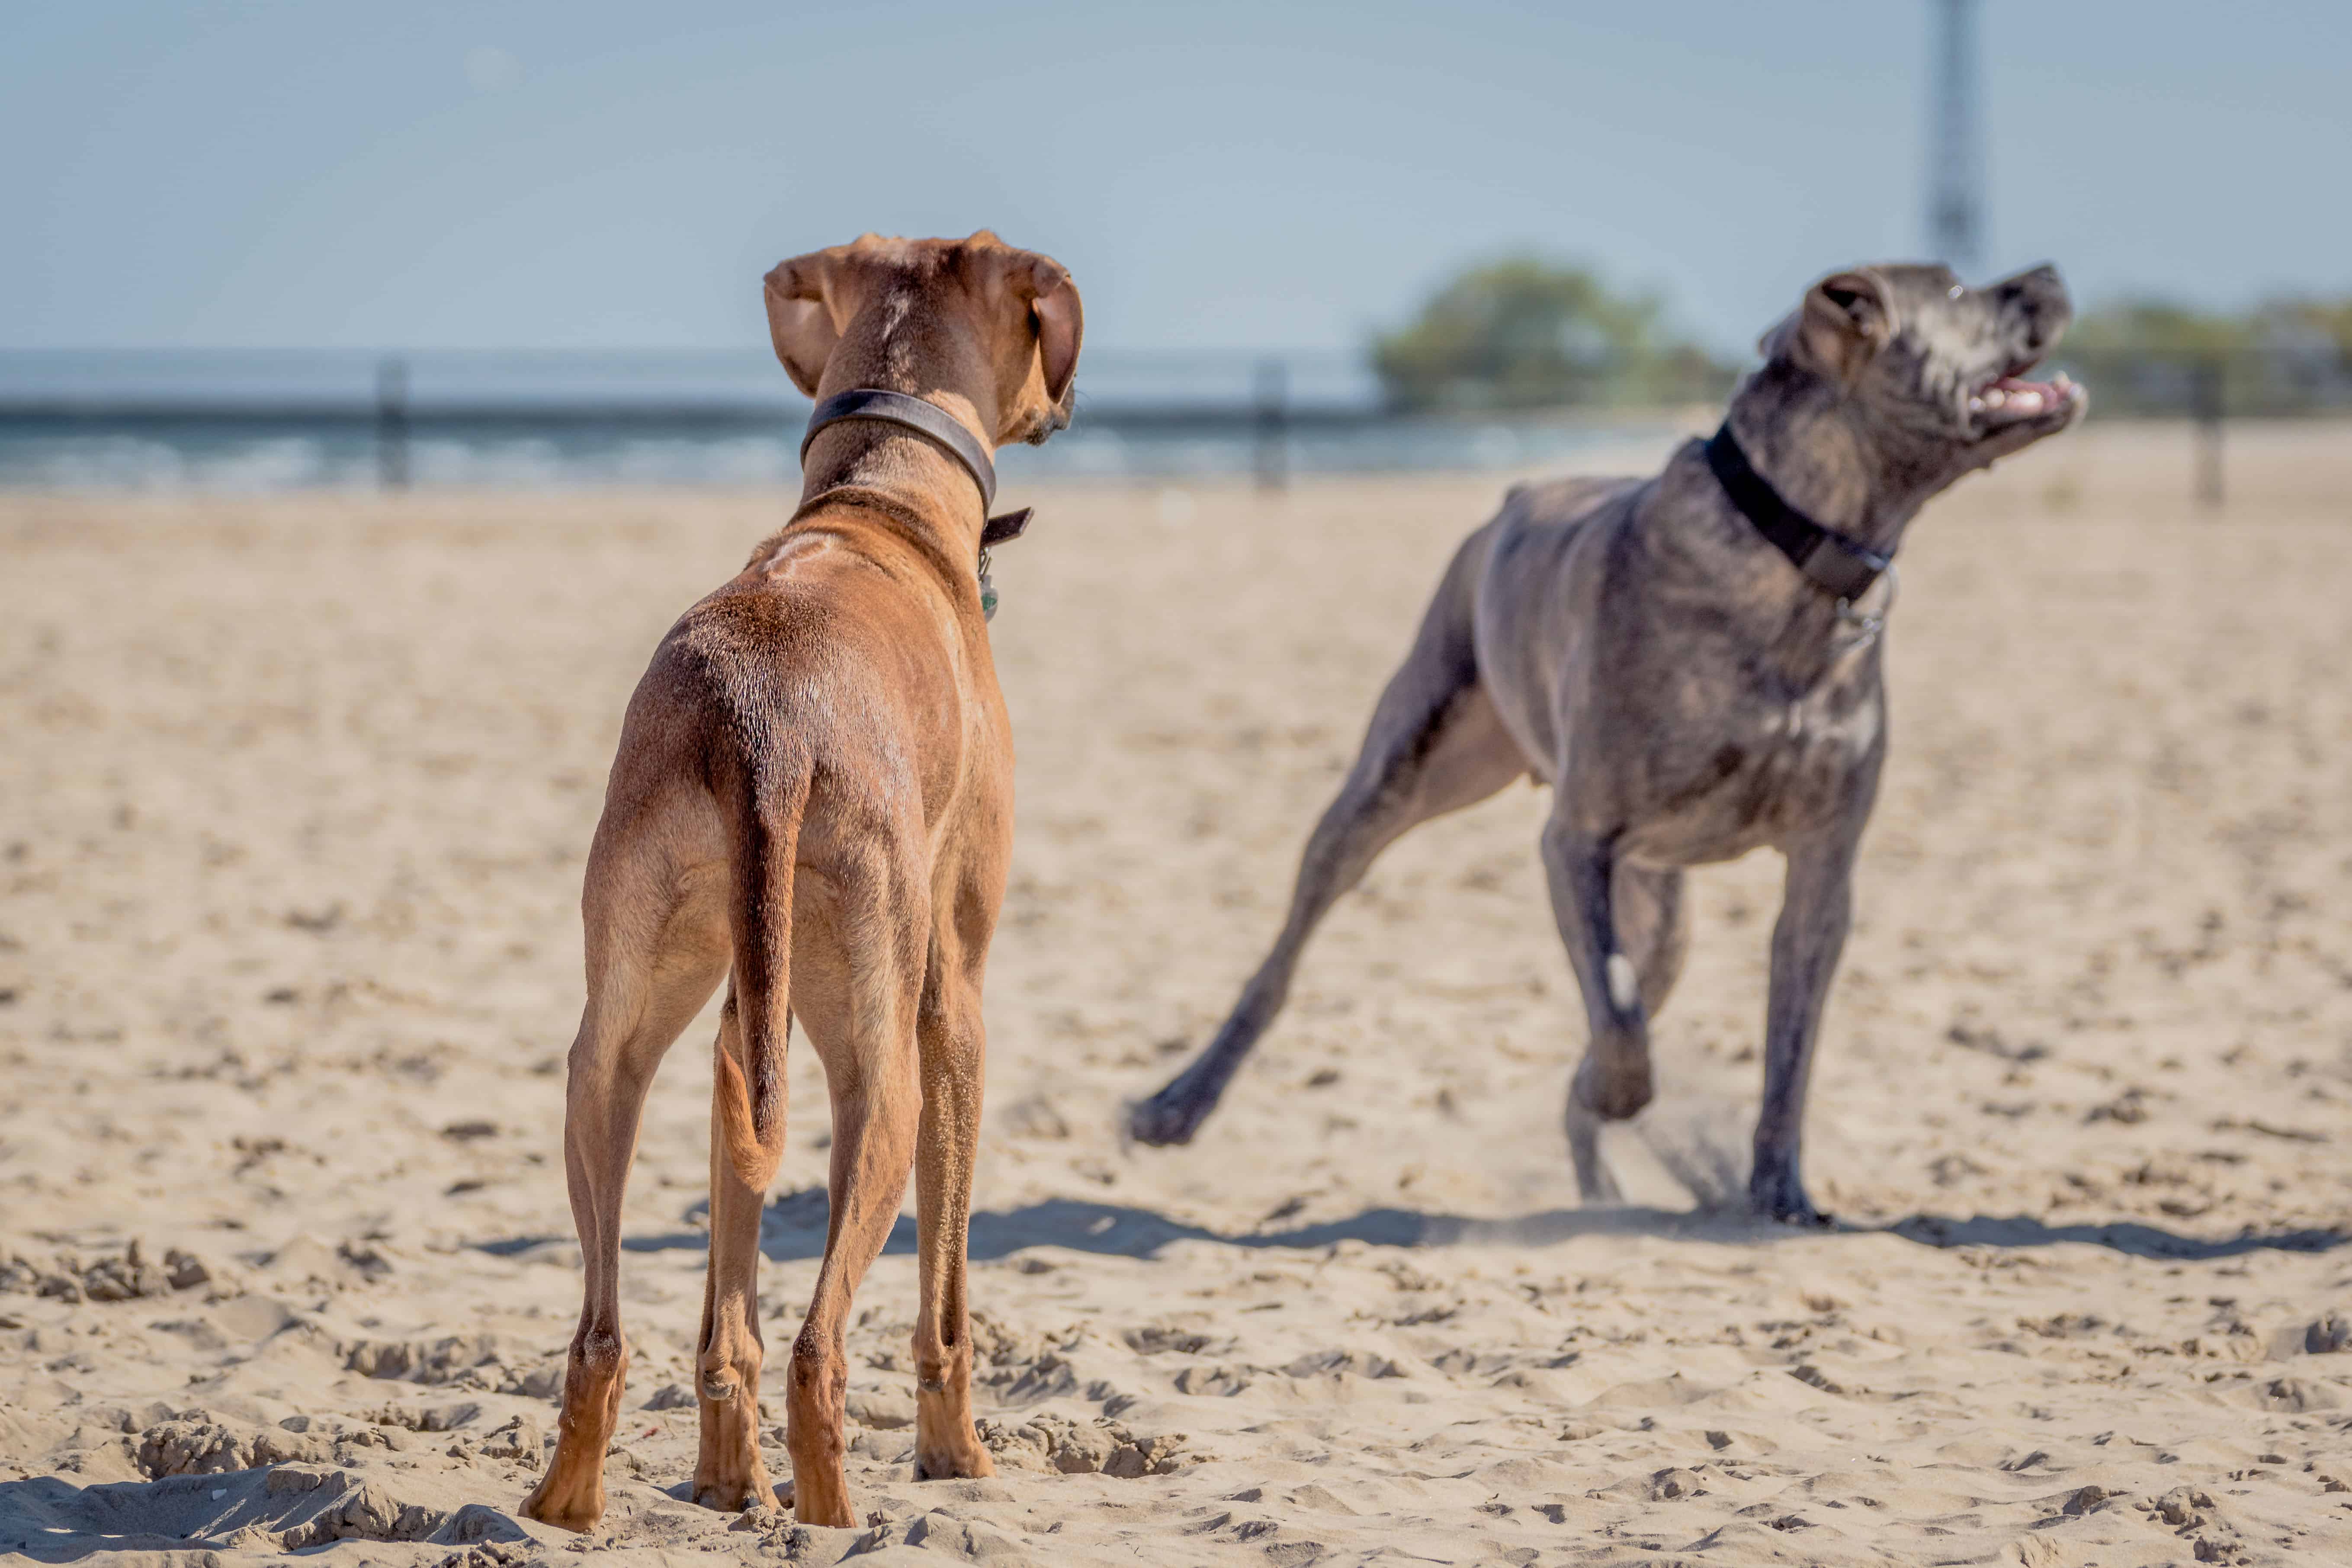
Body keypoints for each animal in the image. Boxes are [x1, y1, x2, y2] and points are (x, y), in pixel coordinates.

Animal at [520, 233, 1077, 1533]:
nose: (1060, 407)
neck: (881, 498)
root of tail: (761, 722)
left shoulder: (742, 1009)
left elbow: (726, 1299)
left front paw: (728, 1482)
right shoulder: (953, 1003)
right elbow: (944, 1300)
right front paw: (957, 1454)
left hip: (621, 1030)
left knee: (604, 1325)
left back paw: (573, 1504)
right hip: (879, 1059)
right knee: (821, 1343)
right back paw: (836, 1514)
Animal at [1133, 266, 2079, 1222]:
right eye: (1957, 291)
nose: (2049, 274)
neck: (1796, 561)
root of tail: (1516, 495)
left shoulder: (1823, 869)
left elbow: (1788, 1050)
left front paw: (1778, 1190)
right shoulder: (1577, 841)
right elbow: (1619, 1025)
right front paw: (1618, 1091)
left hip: (1660, 915)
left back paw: (1608, 1187)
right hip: (1395, 779)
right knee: (1286, 955)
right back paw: (1177, 1103)